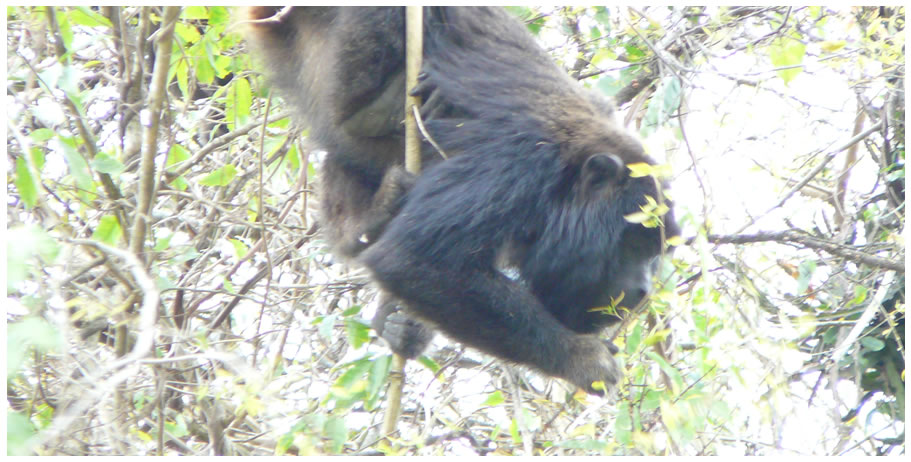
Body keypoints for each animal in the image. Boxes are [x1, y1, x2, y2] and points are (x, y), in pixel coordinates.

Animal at [242, 6, 676, 394]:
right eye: (631, 243)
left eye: (655, 254)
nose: (643, 289)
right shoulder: (520, 161)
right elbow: (412, 259)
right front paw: (581, 358)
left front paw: (399, 325)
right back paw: (375, 107)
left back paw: (368, 220)